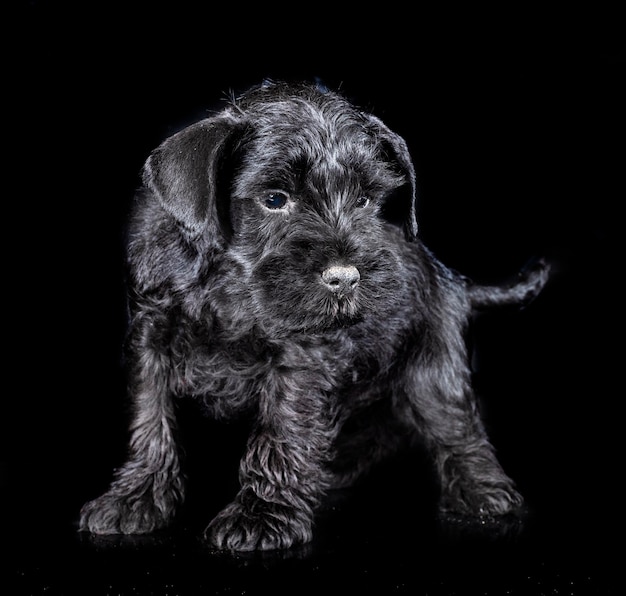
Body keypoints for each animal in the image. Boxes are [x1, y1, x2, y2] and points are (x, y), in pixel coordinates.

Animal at [78, 79, 544, 548]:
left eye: (364, 199)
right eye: (274, 199)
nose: (345, 278)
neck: (228, 284)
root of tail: (451, 276)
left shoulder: (299, 358)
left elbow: (281, 430)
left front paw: (261, 515)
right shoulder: (150, 338)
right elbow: (150, 419)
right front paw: (135, 498)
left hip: (434, 369)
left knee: (457, 427)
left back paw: (482, 491)